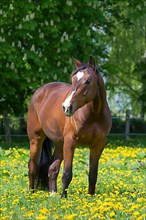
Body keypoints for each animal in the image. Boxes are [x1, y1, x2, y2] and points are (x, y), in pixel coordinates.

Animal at [27, 56, 112, 198]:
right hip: (36, 139)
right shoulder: (70, 142)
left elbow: (93, 175)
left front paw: (90, 197)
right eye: (72, 79)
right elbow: (67, 173)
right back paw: (31, 194)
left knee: (52, 168)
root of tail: (38, 92)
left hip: (59, 143)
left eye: (88, 80)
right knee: (32, 166)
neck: (94, 115)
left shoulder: (98, 145)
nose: (66, 107)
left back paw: (53, 194)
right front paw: (64, 198)